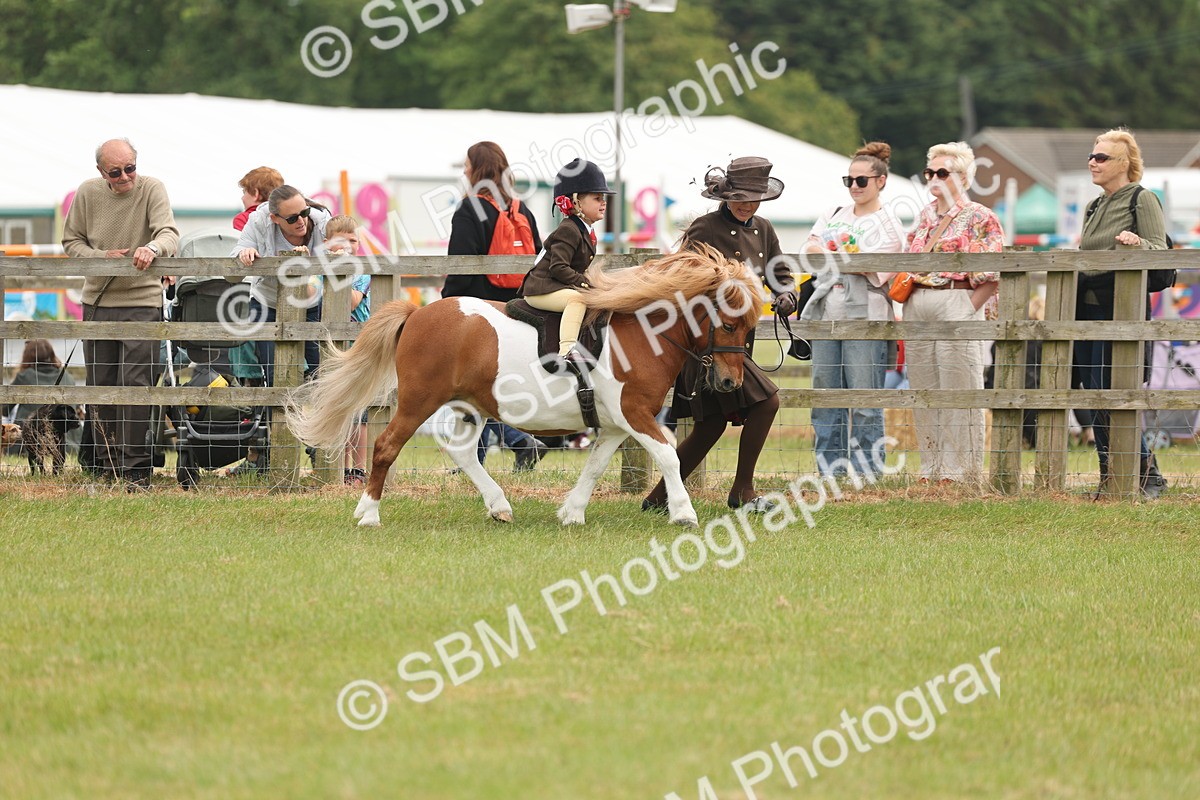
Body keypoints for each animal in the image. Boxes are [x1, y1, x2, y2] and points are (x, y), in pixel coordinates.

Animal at [285, 245, 764, 527]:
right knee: (386, 447)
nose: (729, 382)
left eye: (749, 328)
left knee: (462, 451)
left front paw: (571, 513)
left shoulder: (615, 424)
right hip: (419, 401)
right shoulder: (636, 413)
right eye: (727, 323)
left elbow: (595, 466)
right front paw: (683, 514)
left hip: (470, 407)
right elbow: (668, 455)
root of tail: (418, 313)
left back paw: (499, 506)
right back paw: (368, 514)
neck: (644, 333)